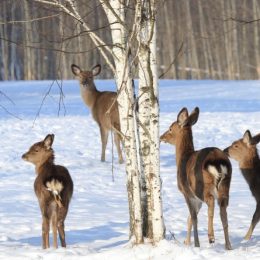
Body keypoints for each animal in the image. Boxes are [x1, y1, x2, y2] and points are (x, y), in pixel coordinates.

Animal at [160, 107, 232, 250]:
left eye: (170, 128)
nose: (161, 137)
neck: (182, 158)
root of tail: (217, 161)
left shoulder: (186, 192)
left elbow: (193, 218)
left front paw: (196, 244)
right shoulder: (196, 199)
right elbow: (189, 218)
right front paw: (187, 242)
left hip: (201, 185)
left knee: (211, 202)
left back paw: (211, 236)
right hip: (225, 185)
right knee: (223, 211)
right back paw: (228, 246)